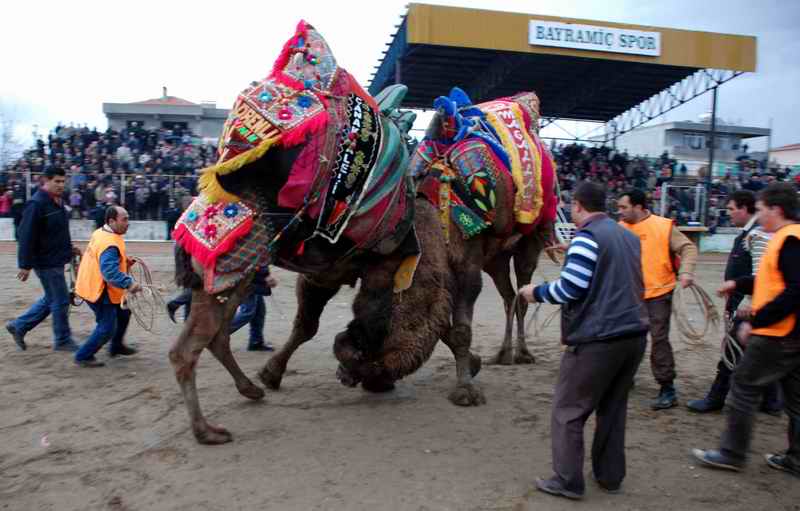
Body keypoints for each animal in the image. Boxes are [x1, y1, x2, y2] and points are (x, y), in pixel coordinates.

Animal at [169, 21, 556, 444]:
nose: (361, 378)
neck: (428, 227)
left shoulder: (401, 266)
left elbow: (449, 327)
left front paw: (467, 379)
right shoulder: (360, 269)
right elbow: (329, 323)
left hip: (528, 242)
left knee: (519, 292)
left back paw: (517, 354)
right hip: (233, 270)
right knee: (196, 345)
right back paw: (210, 426)